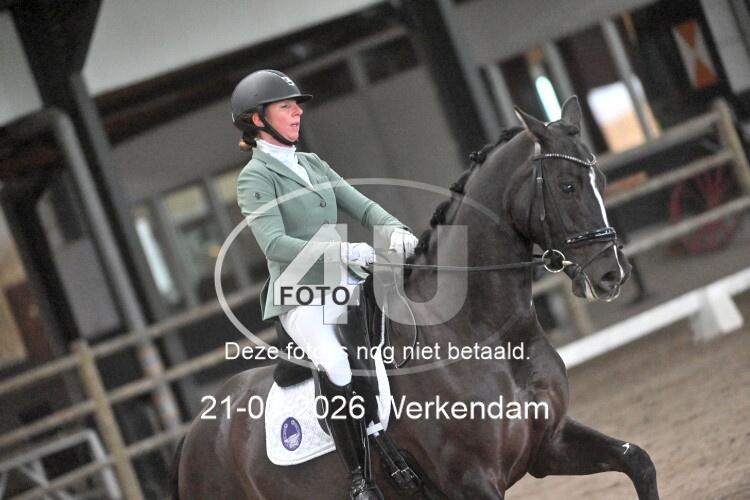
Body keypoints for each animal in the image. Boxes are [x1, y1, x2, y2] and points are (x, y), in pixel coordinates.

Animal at [172, 96, 659, 499]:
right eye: (567, 186)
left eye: (601, 178)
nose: (611, 274)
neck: (485, 333)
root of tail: (195, 433)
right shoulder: (472, 480)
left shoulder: (549, 445)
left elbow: (638, 460)